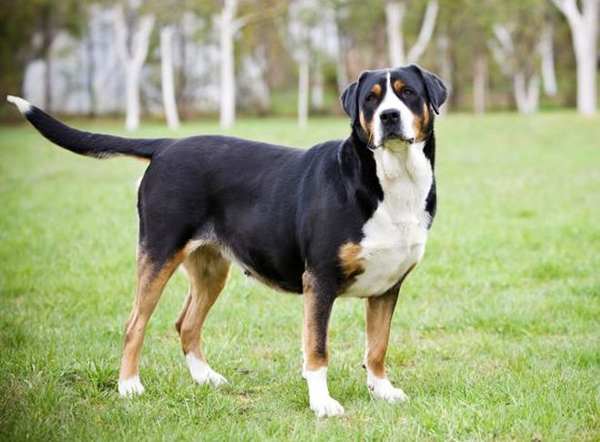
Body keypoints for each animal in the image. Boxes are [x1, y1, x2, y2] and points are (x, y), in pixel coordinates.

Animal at [5, 64, 446, 416]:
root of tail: (167, 145)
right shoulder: (319, 281)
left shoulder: (388, 287)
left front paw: (382, 390)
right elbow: (317, 350)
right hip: (159, 251)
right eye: (371, 99)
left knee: (185, 324)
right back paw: (129, 386)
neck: (391, 182)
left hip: (210, 268)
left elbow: (377, 346)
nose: (390, 116)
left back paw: (206, 379)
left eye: (407, 92)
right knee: (135, 323)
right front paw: (322, 404)